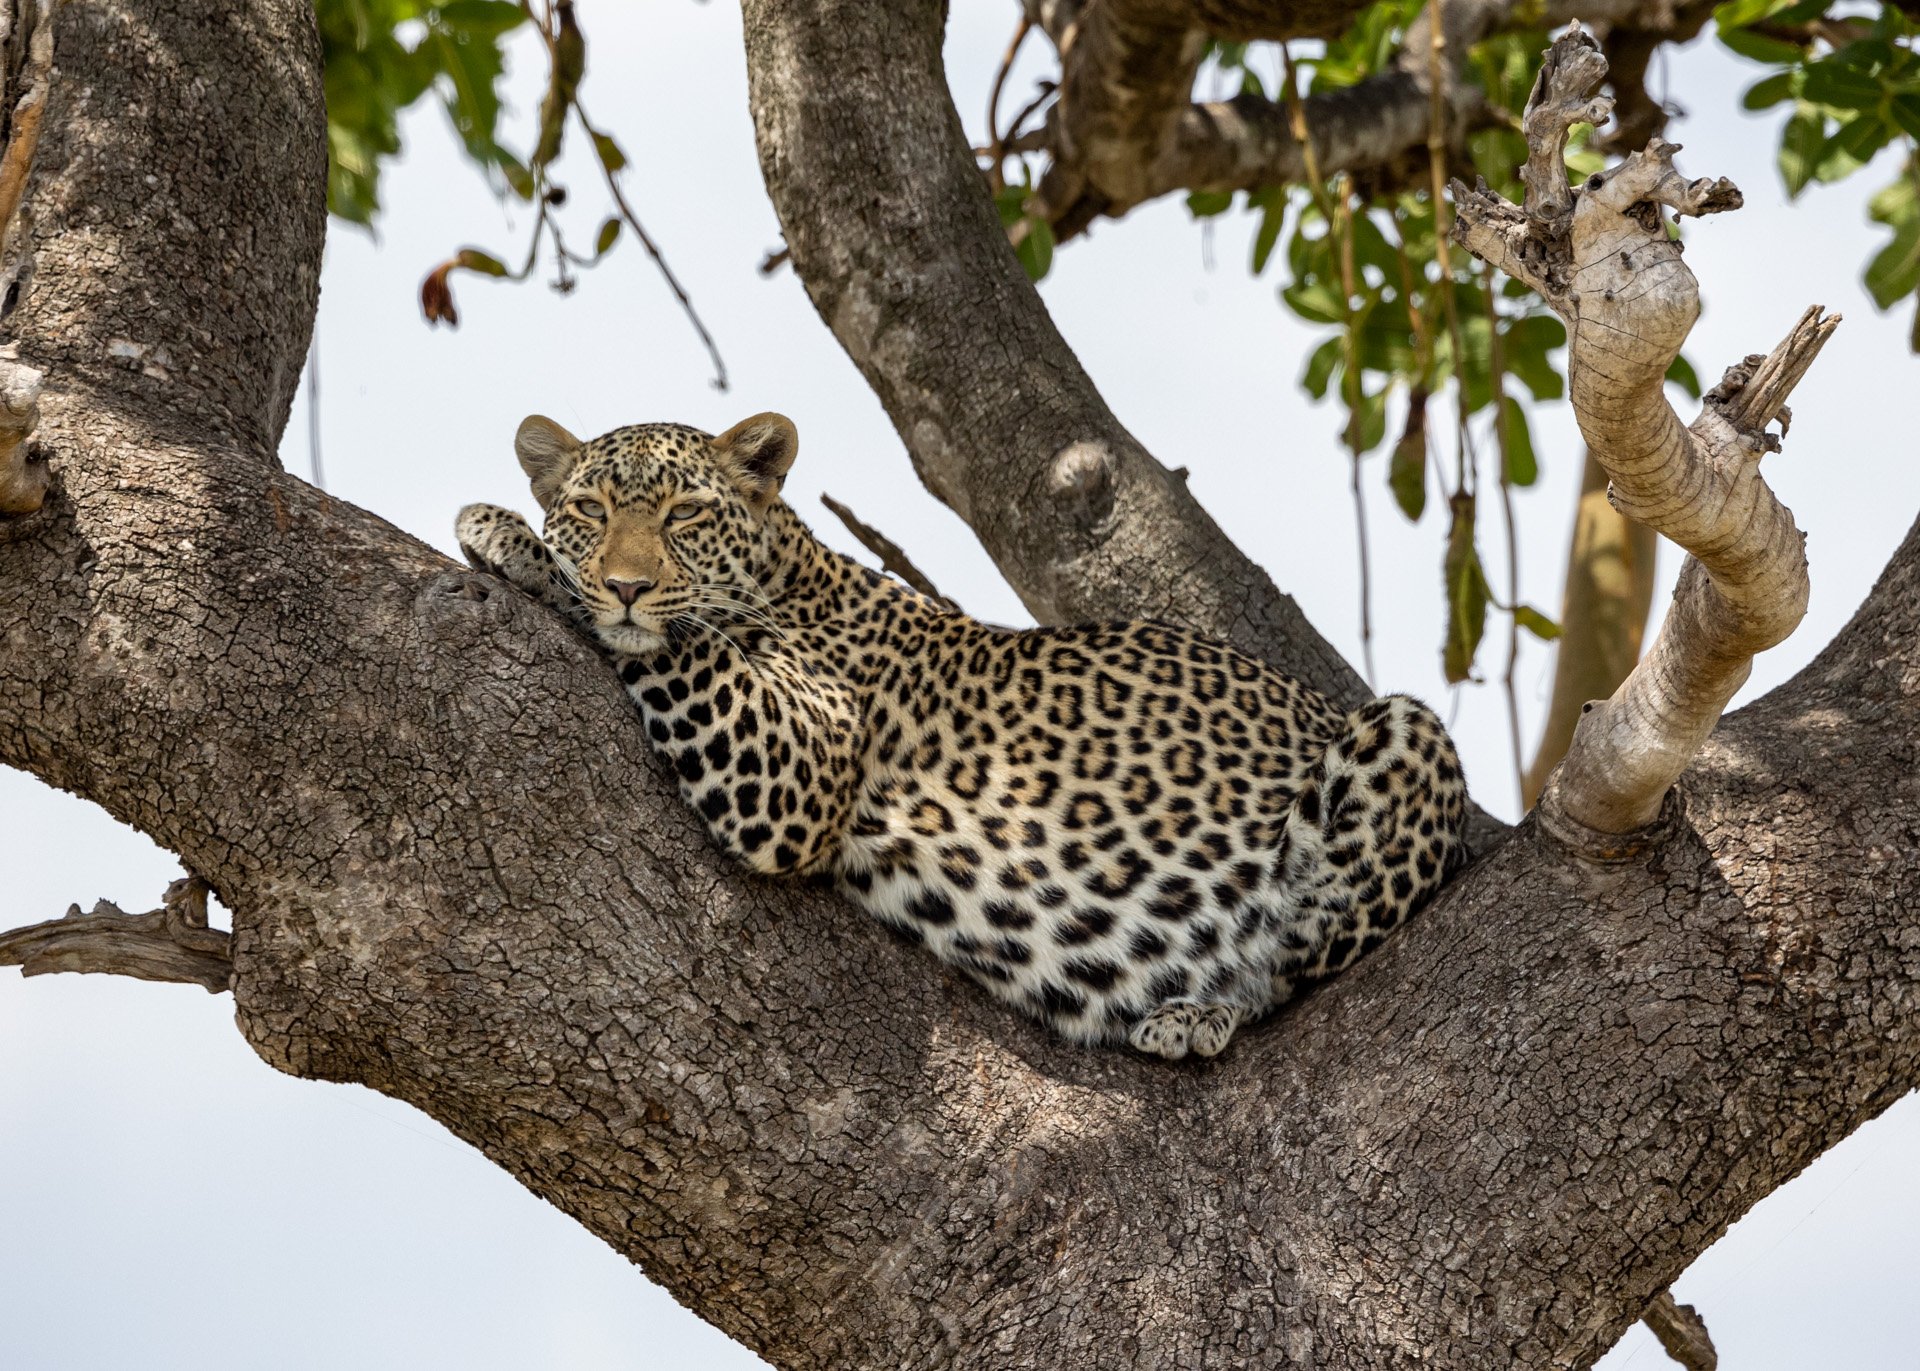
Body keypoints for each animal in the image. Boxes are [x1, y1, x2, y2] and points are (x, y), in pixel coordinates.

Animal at [453, 408, 1466, 1059]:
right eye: (591, 509)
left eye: (686, 514)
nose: (625, 582)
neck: (788, 569)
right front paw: (535, 547)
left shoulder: (798, 759)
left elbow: (679, 638)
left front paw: (509, 534)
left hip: (1407, 730)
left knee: (1291, 970)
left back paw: (1200, 1012)